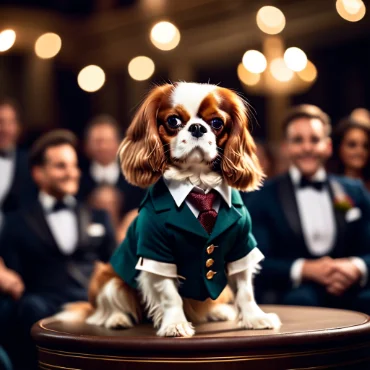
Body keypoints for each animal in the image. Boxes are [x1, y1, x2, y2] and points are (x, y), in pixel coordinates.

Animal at [57, 82, 280, 336]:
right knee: (103, 309)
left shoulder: (241, 245)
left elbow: (245, 289)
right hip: (108, 279)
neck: (198, 184)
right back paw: (117, 319)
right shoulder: (156, 251)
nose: (197, 128)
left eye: (216, 123)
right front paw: (174, 324)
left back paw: (218, 311)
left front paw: (255, 318)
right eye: (173, 121)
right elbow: (169, 294)